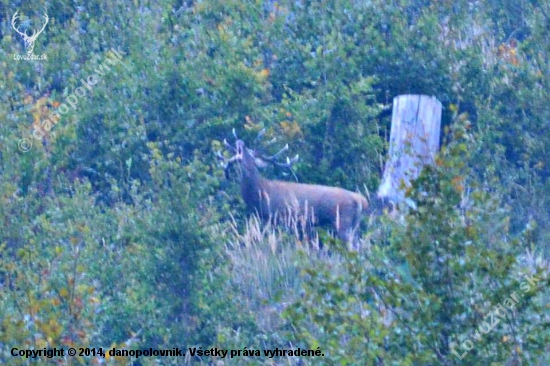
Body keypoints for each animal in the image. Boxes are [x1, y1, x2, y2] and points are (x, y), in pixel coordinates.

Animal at [217, 129, 370, 246]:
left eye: (251, 156)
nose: (240, 142)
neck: (261, 194)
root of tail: (361, 200)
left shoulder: (282, 218)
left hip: (343, 222)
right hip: (354, 225)